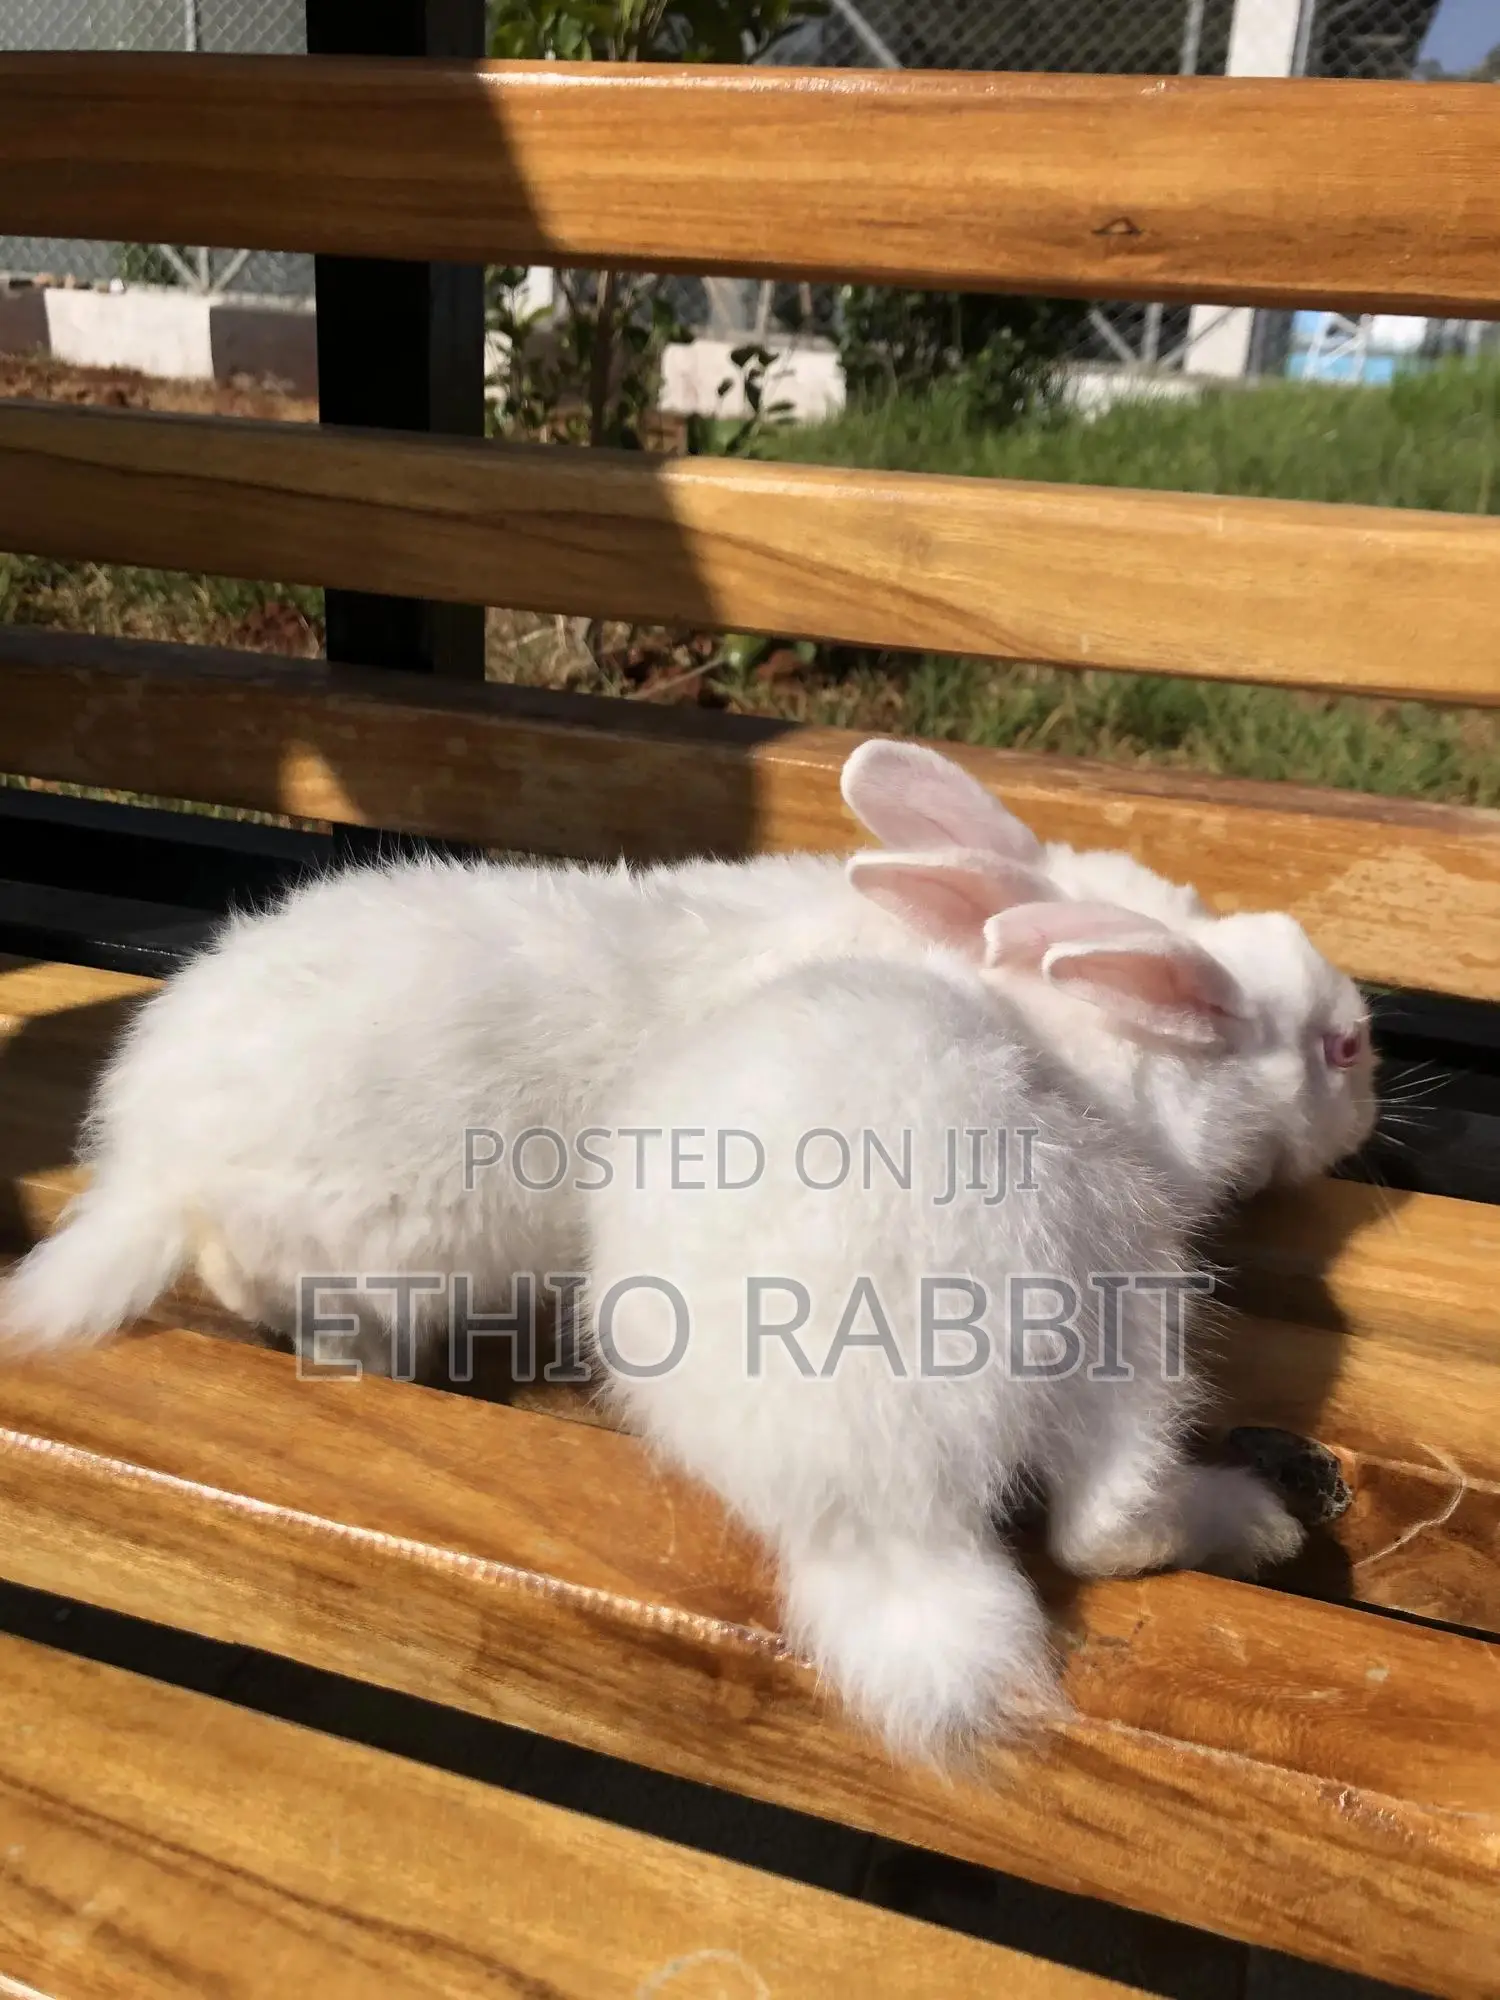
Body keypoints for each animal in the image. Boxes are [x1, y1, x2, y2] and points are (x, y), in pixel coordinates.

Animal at [584, 864, 1378, 1763]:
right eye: (1343, 1048)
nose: (1369, 1114)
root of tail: (889, 1522)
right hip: (1121, 1305)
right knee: (1101, 1525)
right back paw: (1256, 1524)